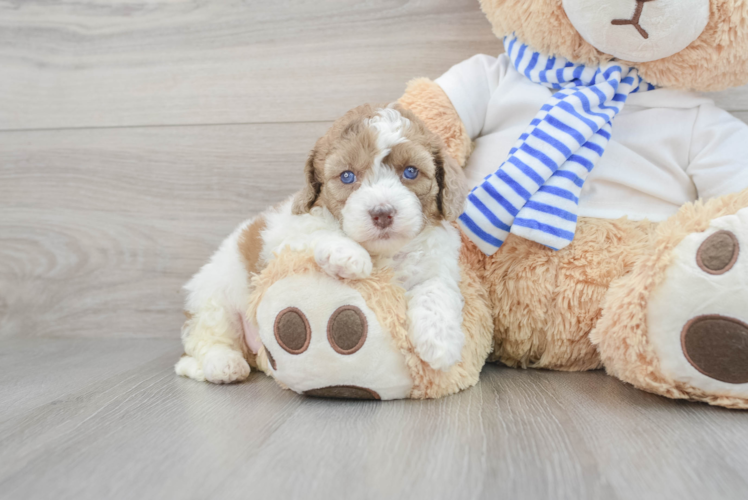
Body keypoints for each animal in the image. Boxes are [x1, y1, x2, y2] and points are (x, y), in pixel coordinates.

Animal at [176, 101, 468, 382]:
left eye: (410, 172)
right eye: (347, 176)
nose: (382, 213)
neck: (384, 252)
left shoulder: (436, 264)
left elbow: (435, 289)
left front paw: (441, 343)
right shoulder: (288, 236)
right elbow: (318, 230)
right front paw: (349, 255)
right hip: (214, 299)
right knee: (205, 340)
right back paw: (224, 364)